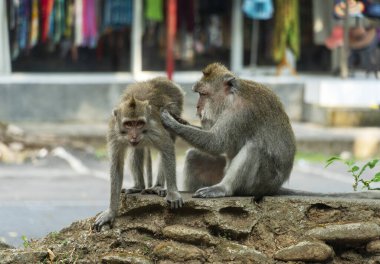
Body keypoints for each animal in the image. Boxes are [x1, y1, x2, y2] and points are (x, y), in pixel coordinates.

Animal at [94, 77, 185, 231]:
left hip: (176, 107)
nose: (134, 136)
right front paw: (111, 212)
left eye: (139, 123)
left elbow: (167, 147)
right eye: (129, 124)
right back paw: (139, 186)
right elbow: (116, 165)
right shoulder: (114, 132)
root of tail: (159, 79)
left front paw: (173, 193)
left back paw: (157, 186)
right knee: (136, 151)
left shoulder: (154, 128)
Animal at [160, 63, 380, 200]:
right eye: (198, 94)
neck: (232, 98)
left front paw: (172, 122)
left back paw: (223, 189)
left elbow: (217, 142)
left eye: (203, 94)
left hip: (259, 183)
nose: (197, 107)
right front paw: (179, 120)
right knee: (195, 155)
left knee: (253, 149)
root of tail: (274, 188)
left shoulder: (241, 113)